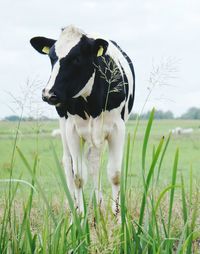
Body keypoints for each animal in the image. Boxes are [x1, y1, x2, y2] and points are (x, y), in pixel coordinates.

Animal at [29, 25, 135, 214]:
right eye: (52, 58)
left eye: (76, 59)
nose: (48, 94)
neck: (92, 103)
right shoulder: (72, 129)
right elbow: (78, 176)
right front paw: (80, 217)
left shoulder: (117, 128)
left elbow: (115, 175)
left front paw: (117, 217)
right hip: (64, 125)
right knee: (68, 163)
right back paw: (76, 211)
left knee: (94, 162)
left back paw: (99, 208)